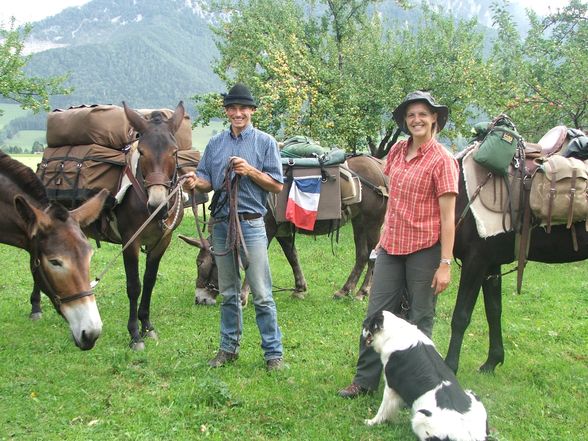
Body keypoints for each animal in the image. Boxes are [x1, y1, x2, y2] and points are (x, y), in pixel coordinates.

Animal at [31, 101, 186, 348]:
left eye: (174, 151)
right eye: (142, 152)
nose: (157, 205)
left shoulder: (162, 241)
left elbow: (149, 282)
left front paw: (147, 326)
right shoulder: (130, 241)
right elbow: (134, 286)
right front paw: (134, 335)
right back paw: (36, 306)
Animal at [181, 154, 388, 302]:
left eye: (200, 263)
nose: (199, 299)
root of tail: (380, 166)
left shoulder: (266, 229)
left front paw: (244, 296)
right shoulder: (282, 232)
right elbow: (292, 256)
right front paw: (299, 289)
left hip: (373, 222)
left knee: (372, 256)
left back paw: (362, 292)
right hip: (359, 221)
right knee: (362, 255)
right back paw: (345, 290)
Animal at [446, 153, 588, 372]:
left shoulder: (475, 261)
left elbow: (461, 316)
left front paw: (449, 367)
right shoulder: (490, 265)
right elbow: (494, 311)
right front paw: (492, 361)